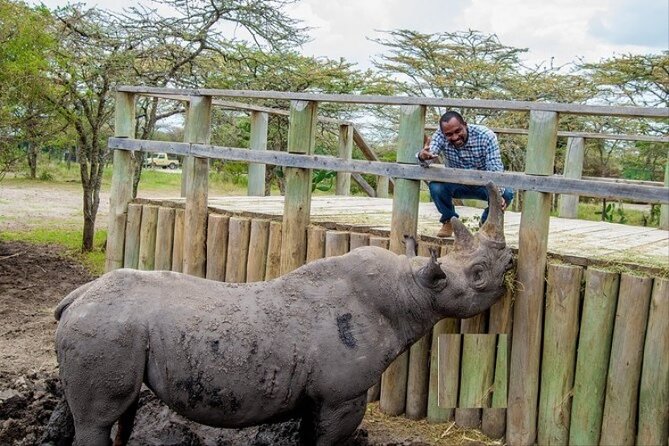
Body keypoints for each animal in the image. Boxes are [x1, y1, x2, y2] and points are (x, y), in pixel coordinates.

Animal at [54, 182, 513, 446]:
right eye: (478, 275)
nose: (511, 263)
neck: (410, 289)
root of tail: (76, 297)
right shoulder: (342, 396)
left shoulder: (318, 397)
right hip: (105, 327)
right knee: (99, 419)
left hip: (113, 327)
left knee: (122, 414)